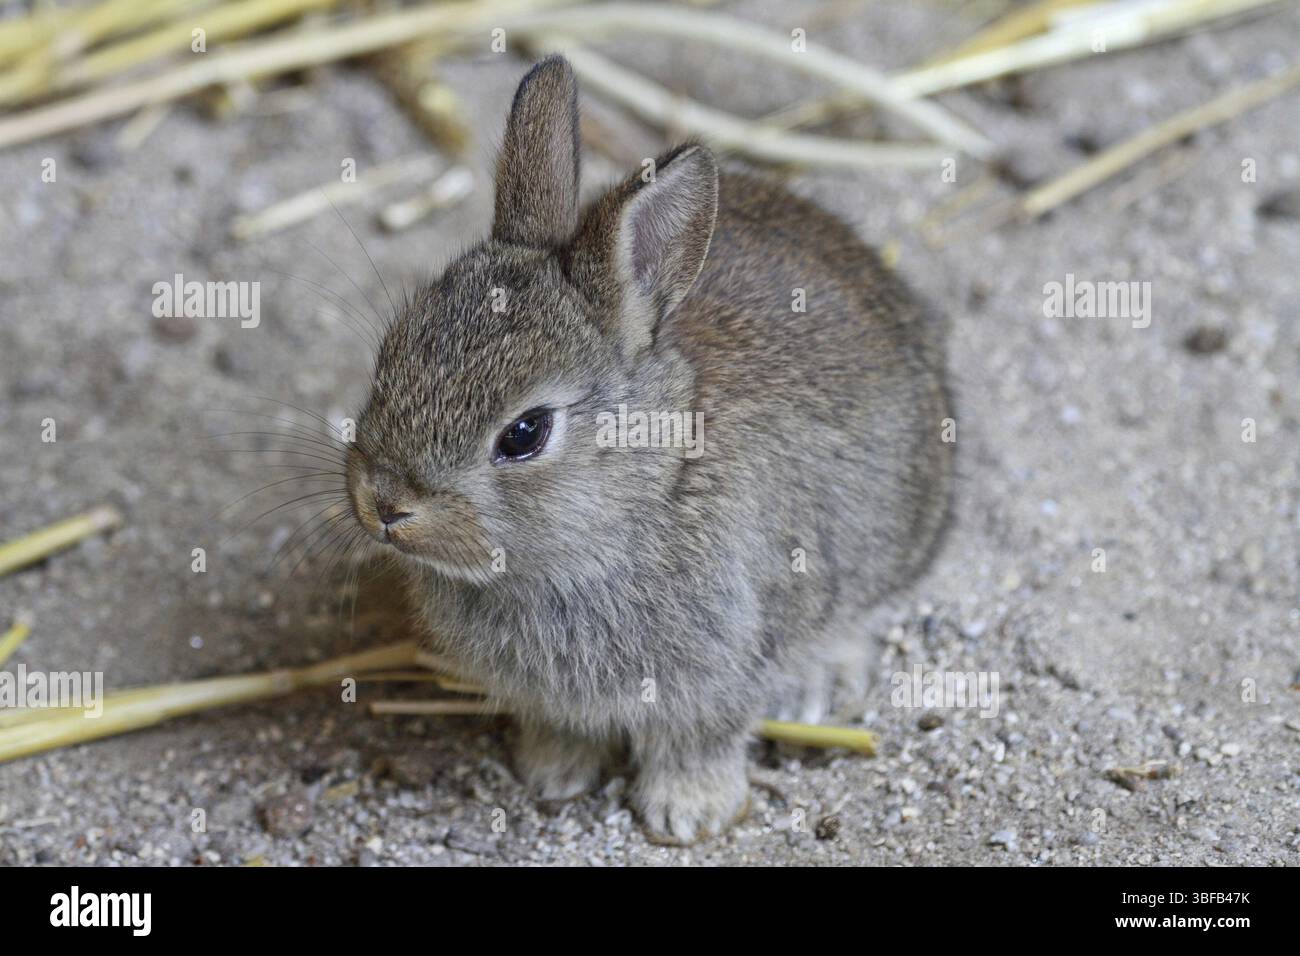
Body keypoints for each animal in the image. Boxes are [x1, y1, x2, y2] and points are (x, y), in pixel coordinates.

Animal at [345, 55, 953, 844]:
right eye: (391, 355)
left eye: (525, 433)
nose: (384, 505)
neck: (644, 498)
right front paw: (552, 774)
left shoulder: (721, 667)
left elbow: (701, 738)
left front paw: (686, 813)